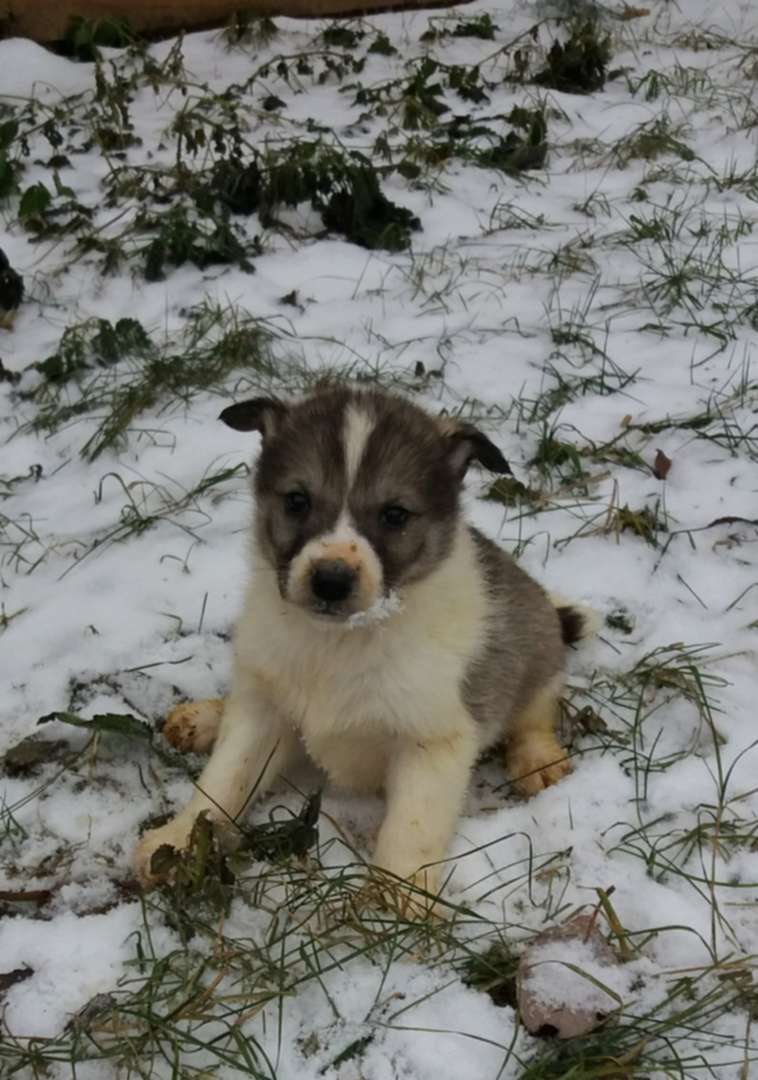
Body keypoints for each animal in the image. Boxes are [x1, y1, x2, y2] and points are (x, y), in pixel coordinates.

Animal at [134, 384, 587, 907]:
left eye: (394, 515)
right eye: (297, 500)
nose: (330, 581)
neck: (340, 642)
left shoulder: (432, 740)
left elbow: (411, 827)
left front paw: (397, 898)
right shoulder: (262, 713)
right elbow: (224, 780)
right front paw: (177, 842)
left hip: (534, 642)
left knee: (534, 708)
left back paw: (537, 758)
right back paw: (204, 718)